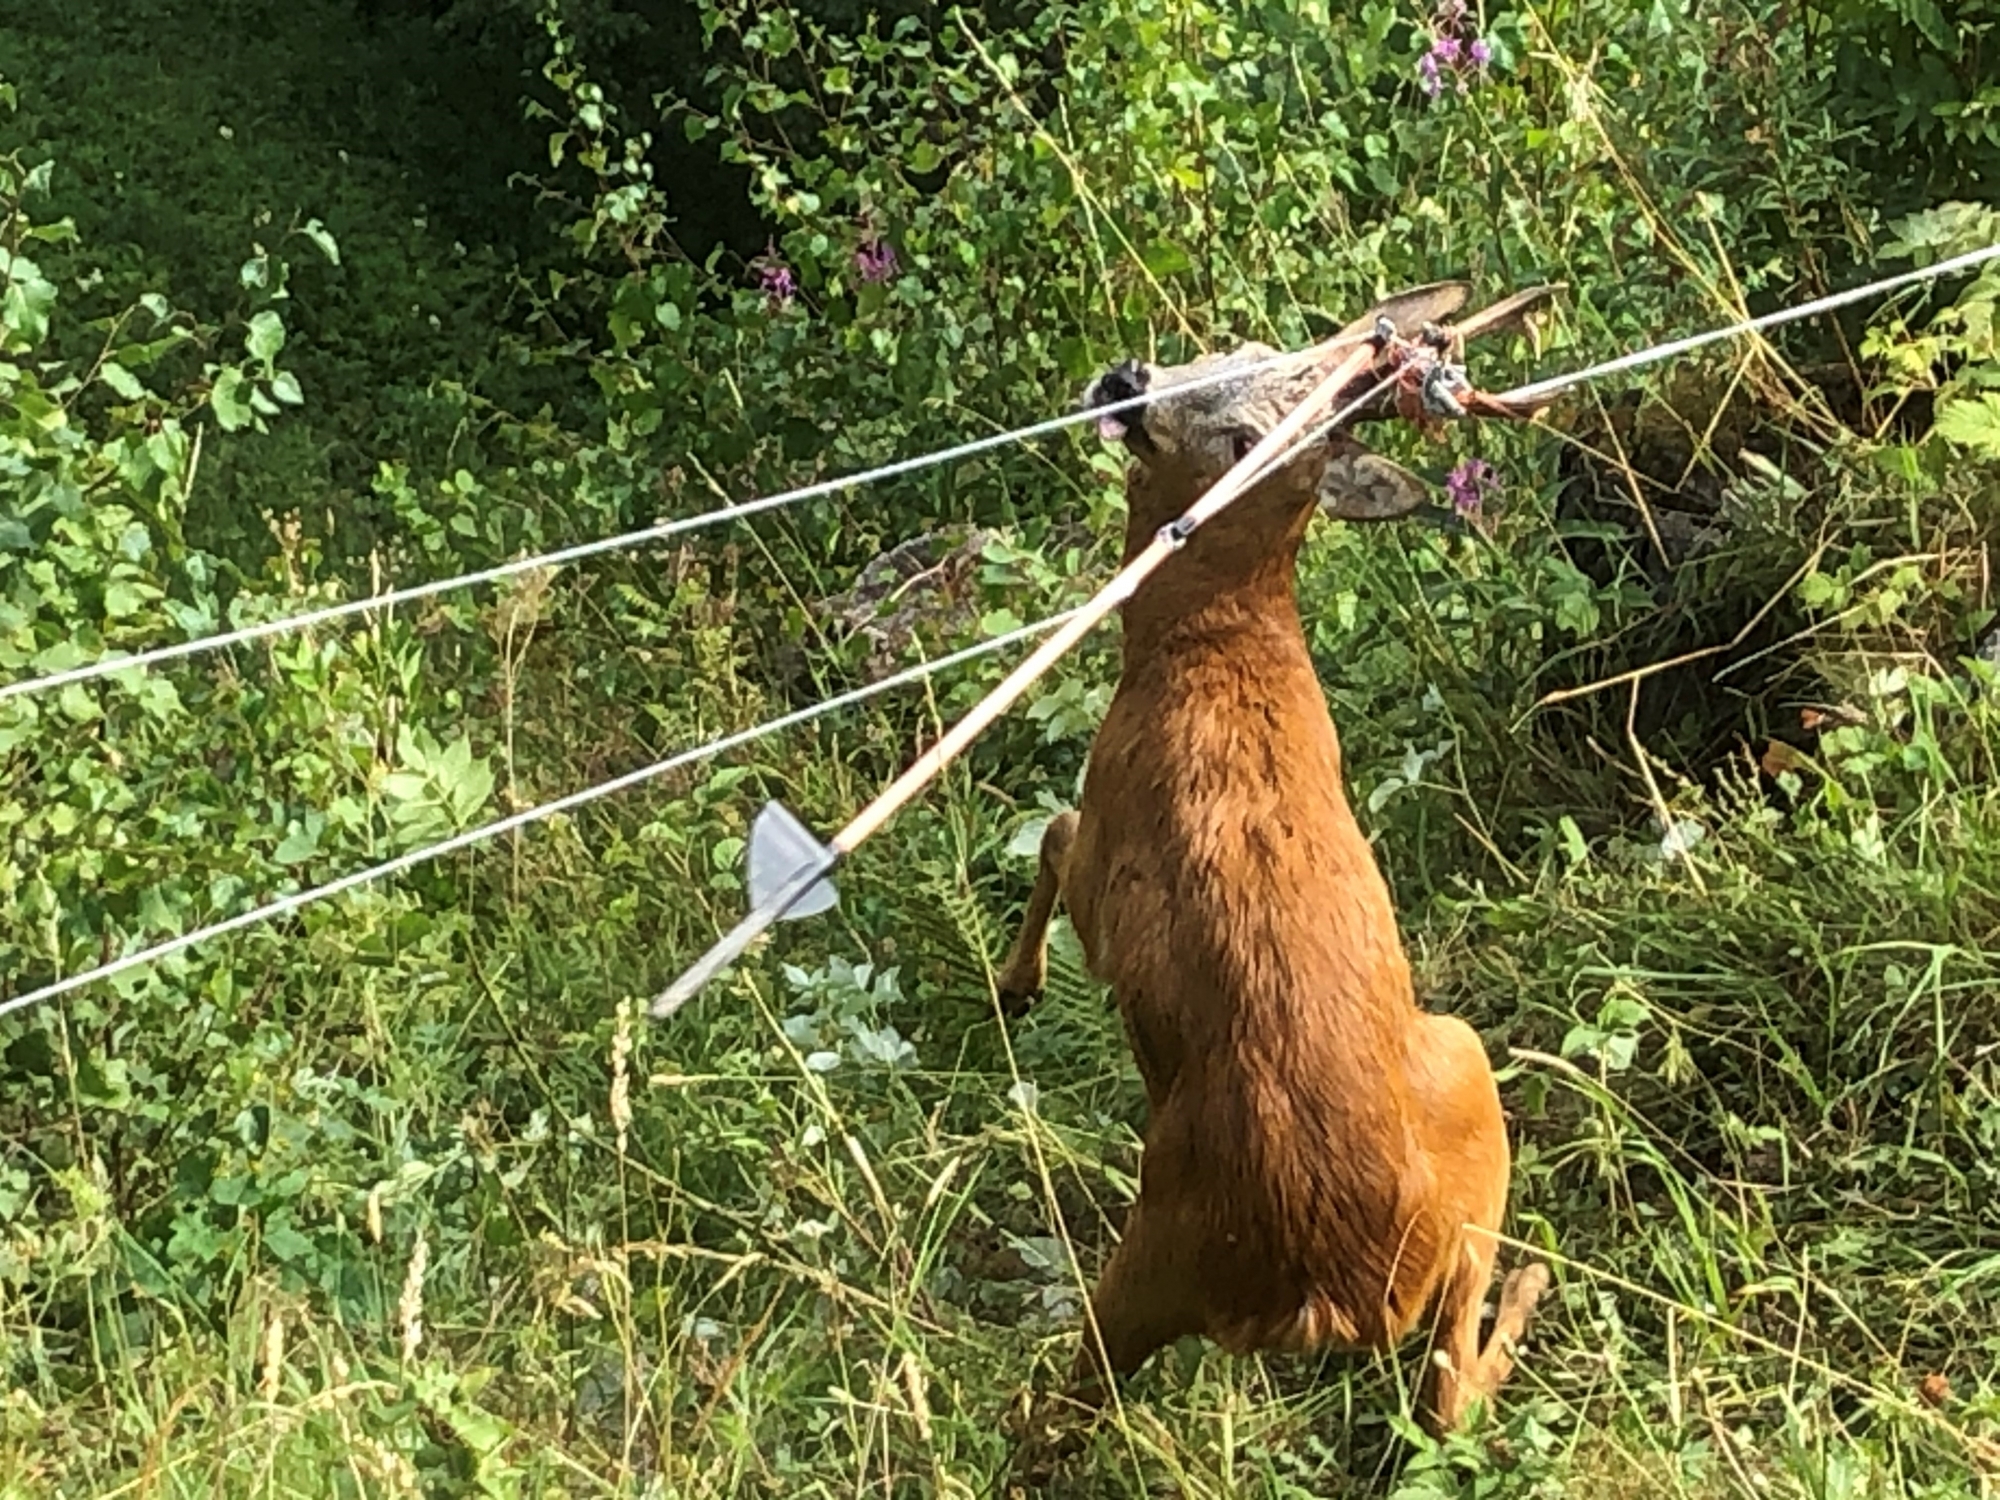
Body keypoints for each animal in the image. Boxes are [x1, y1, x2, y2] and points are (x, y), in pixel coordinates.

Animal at [1000, 288, 1560, 1440]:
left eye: (1243, 442)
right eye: (1238, 345)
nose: (1128, 379)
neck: (1211, 643)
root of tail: (1324, 1292)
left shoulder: (1108, 865)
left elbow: (1056, 831)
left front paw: (1014, 983)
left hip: (1458, 1070)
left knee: (1445, 1392)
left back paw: (1529, 1289)